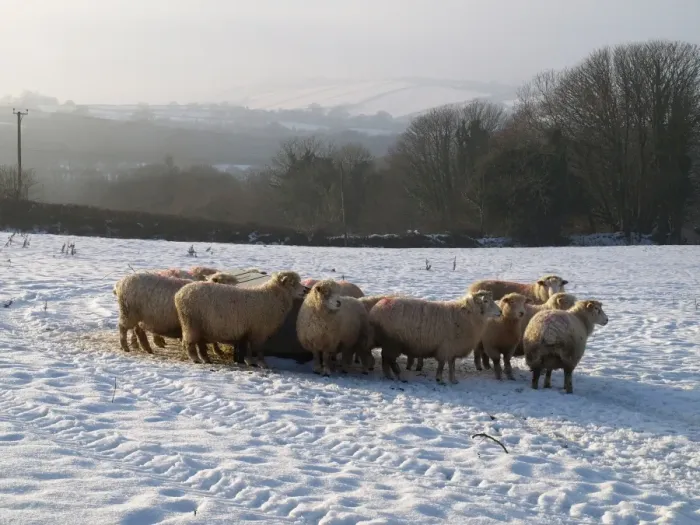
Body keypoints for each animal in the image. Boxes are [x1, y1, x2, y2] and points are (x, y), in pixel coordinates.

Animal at [174, 271, 307, 366]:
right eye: (292, 283)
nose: (306, 290)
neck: (272, 296)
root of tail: (179, 294)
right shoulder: (259, 332)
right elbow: (258, 350)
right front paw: (262, 364)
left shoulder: (250, 330)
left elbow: (248, 348)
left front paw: (249, 361)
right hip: (191, 323)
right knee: (189, 343)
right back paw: (195, 359)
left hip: (200, 325)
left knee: (199, 343)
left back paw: (205, 359)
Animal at [369, 291, 502, 384]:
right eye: (485, 301)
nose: (500, 312)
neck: (466, 315)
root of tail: (377, 306)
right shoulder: (446, 346)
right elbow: (442, 364)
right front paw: (440, 379)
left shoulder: (452, 347)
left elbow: (452, 365)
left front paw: (453, 380)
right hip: (393, 341)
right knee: (390, 359)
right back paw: (399, 376)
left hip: (389, 342)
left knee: (385, 358)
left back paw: (388, 375)